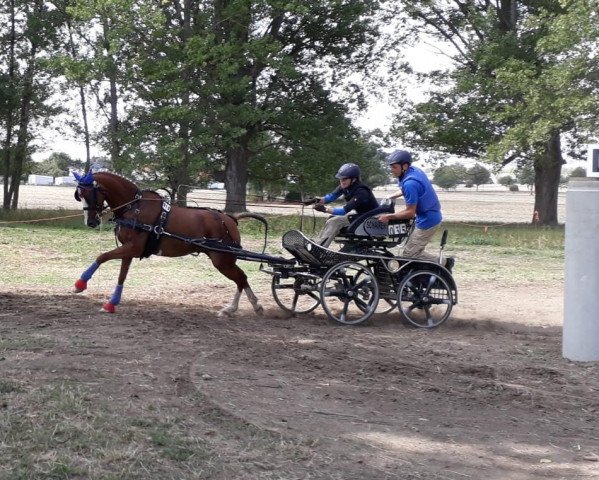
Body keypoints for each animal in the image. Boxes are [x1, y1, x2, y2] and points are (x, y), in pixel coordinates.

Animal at [71, 171, 266, 316]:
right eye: (79, 195)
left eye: (88, 193)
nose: (91, 222)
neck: (135, 207)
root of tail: (230, 219)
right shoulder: (129, 250)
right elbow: (121, 276)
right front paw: (111, 303)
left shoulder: (133, 248)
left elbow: (102, 256)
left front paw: (80, 284)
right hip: (224, 260)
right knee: (242, 278)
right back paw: (248, 306)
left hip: (222, 260)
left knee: (241, 278)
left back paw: (238, 308)